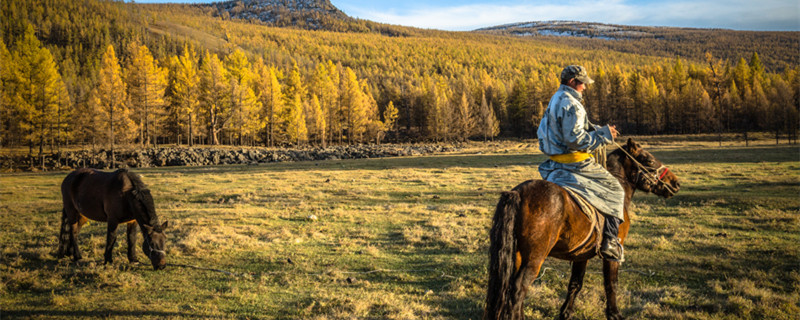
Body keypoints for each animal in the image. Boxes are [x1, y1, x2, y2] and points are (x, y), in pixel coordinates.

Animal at [482, 139, 680, 320]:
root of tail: (518, 193)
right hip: (534, 258)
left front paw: (566, 313)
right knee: (518, 290)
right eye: (648, 160)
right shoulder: (612, 255)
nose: (675, 183)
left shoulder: (581, 255)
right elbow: (611, 284)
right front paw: (614, 314)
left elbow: (575, 284)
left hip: (517, 255)